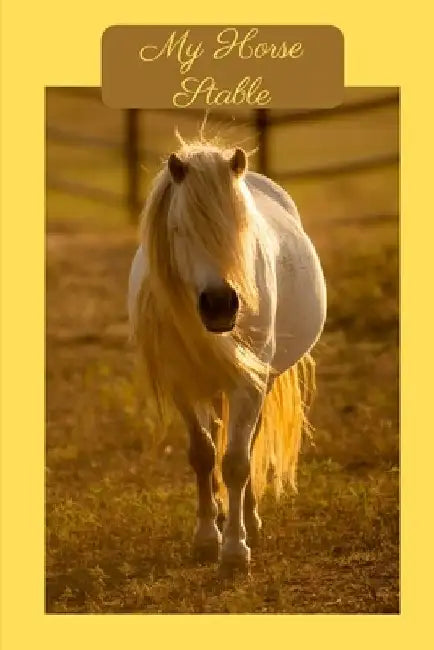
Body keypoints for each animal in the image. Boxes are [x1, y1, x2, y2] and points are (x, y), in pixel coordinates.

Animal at [128, 138, 327, 574]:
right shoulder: (182, 385)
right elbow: (203, 455)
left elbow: (236, 462)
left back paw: (249, 520)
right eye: (178, 229)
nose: (220, 305)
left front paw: (235, 549)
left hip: (258, 383)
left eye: (241, 227)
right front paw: (206, 538)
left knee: (248, 445)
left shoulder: (247, 384)